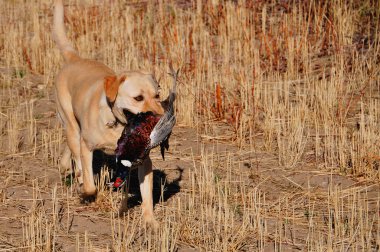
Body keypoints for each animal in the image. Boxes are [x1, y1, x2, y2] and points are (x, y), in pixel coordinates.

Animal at [51, 0, 162, 226]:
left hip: (73, 130)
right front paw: (87, 193)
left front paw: (150, 221)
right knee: (75, 152)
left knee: (69, 150)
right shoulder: (87, 146)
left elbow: (147, 194)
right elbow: (90, 182)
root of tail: (74, 58)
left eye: (157, 95)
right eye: (138, 98)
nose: (160, 116)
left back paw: (65, 166)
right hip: (71, 124)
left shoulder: (144, 160)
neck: (120, 127)